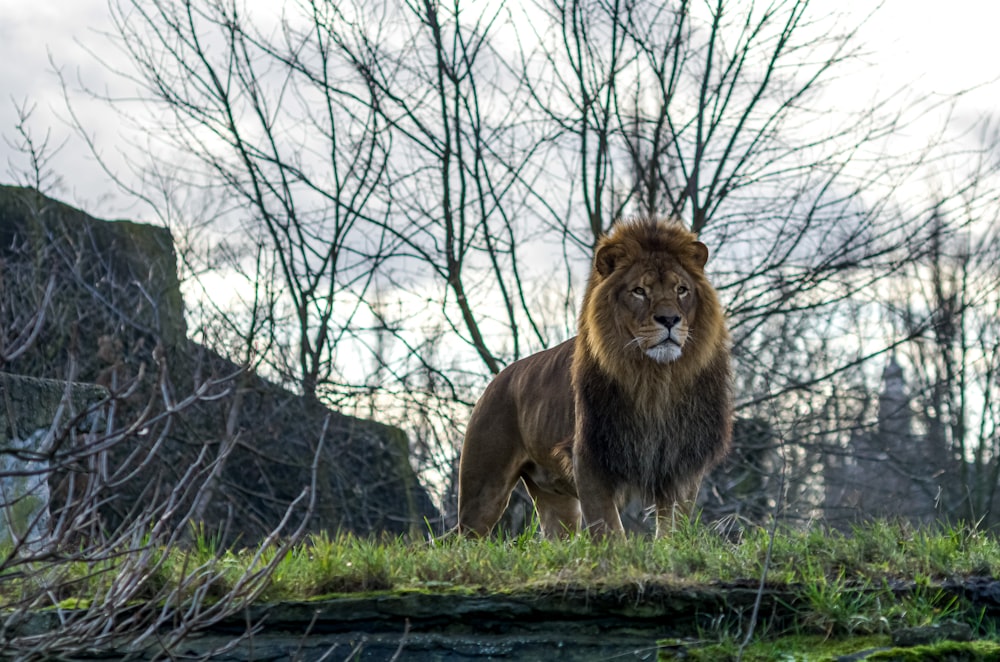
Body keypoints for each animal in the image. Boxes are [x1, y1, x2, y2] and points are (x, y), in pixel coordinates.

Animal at [458, 218, 732, 540]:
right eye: (639, 291)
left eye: (681, 290)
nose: (669, 320)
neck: (656, 379)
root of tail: (497, 379)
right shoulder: (590, 459)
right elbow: (609, 528)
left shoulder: (681, 463)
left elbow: (672, 527)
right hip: (483, 492)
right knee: (461, 538)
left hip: (555, 500)